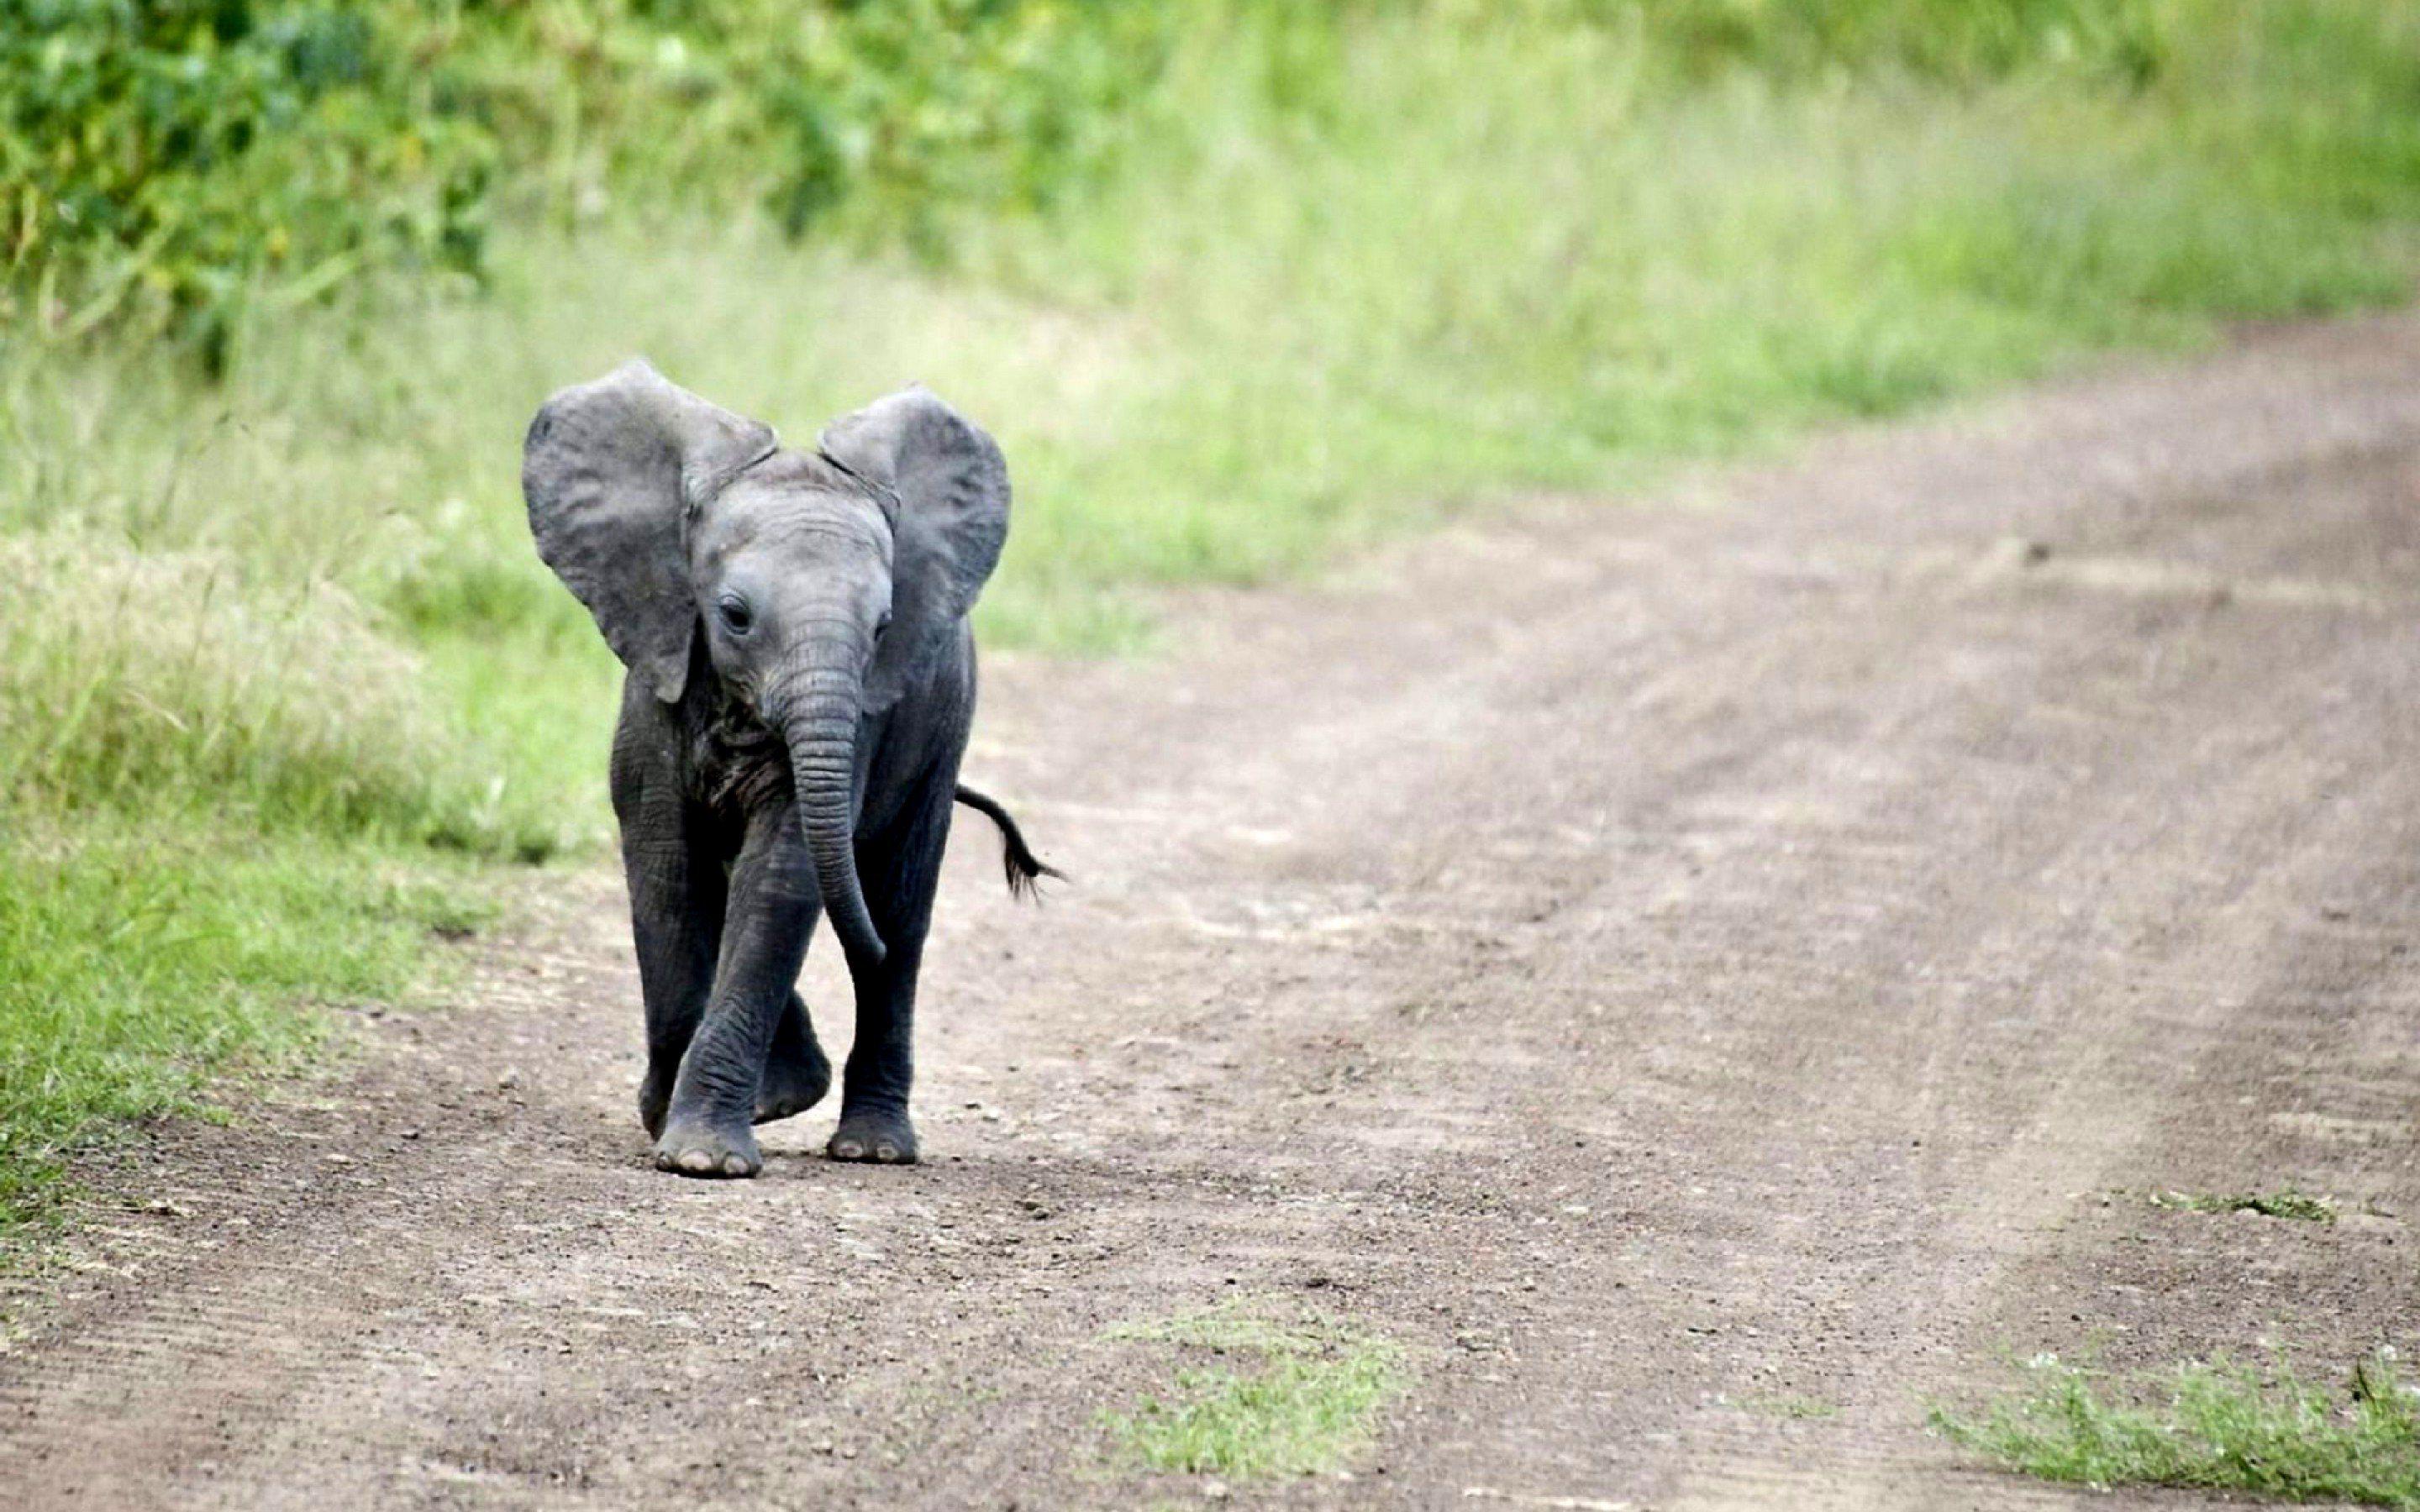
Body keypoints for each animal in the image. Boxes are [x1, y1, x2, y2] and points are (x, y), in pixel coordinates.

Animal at [523, 359, 1055, 1177]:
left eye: (883, 627)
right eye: (734, 616)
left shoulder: (863, 721)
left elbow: (780, 875)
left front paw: (702, 1159)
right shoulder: (657, 679)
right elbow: (667, 871)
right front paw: (678, 1130)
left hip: (941, 739)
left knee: (898, 917)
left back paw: (871, 1148)